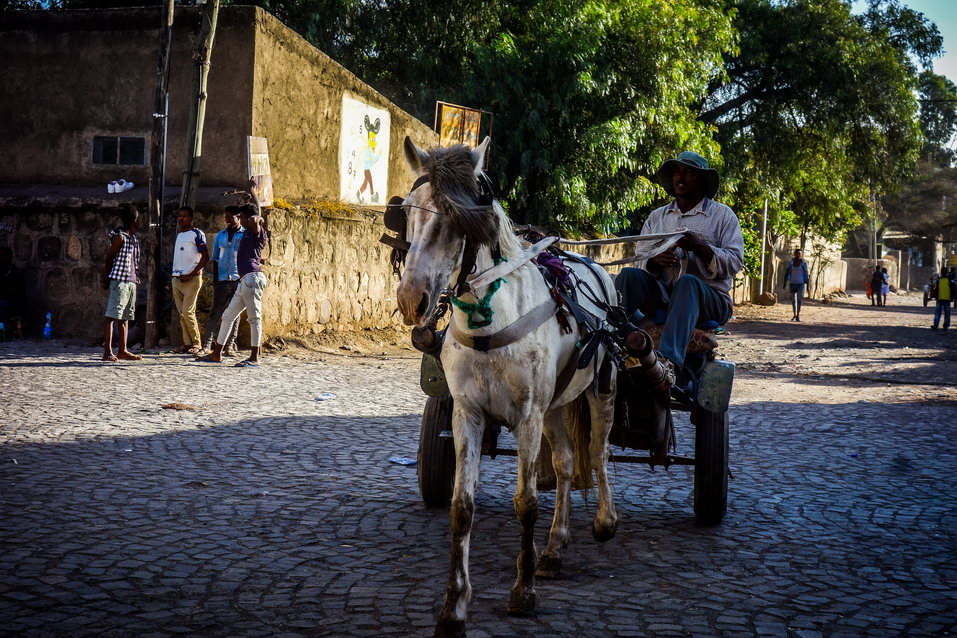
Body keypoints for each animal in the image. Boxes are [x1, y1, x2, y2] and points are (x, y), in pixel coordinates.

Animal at [396, 136, 620, 638]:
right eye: (407, 215)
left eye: (455, 222)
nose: (411, 300)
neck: (489, 319)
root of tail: (594, 266)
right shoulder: (468, 413)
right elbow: (462, 506)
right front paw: (454, 607)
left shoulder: (527, 417)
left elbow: (526, 502)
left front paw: (523, 591)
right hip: (554, 407)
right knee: (565, 462)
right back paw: (553, 549)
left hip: (600, 390)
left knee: (597, 453)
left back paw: (604, 521)